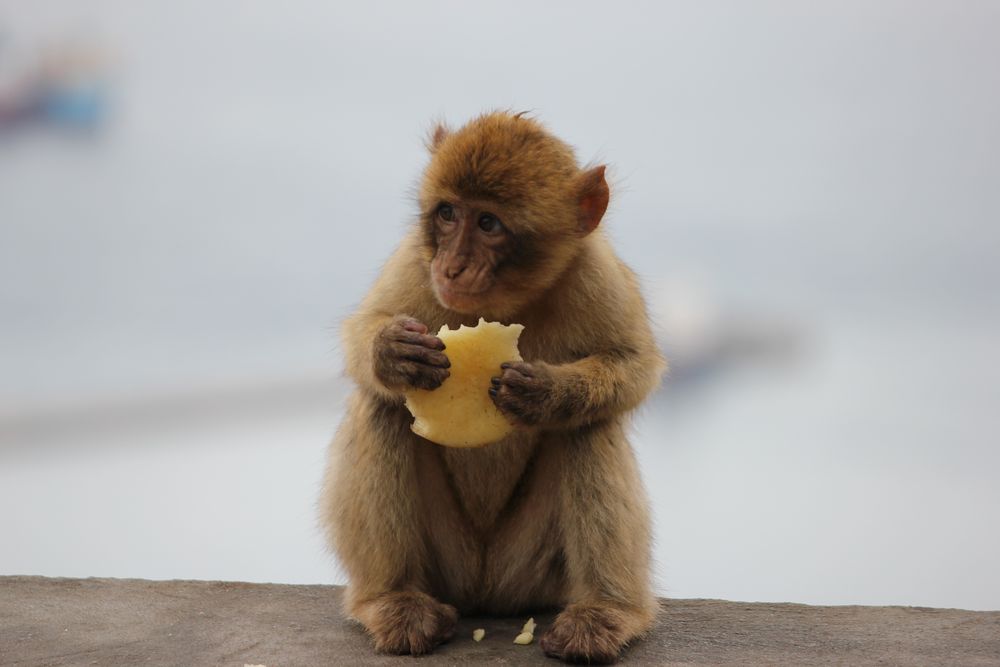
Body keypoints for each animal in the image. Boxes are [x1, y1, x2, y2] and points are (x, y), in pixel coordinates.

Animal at [320, 111, 664, 664]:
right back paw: (392, 600)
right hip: (449, 565)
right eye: (447, 214)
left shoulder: (595, 273)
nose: (451, 266)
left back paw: (607, 612)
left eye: (488, 224)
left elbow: (634, 366)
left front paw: (549, 393)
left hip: (530, 570)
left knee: (589, 427)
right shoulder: (415, 260)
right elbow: (364, 336)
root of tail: (486, 594)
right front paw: (391, 353)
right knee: (381, 408)